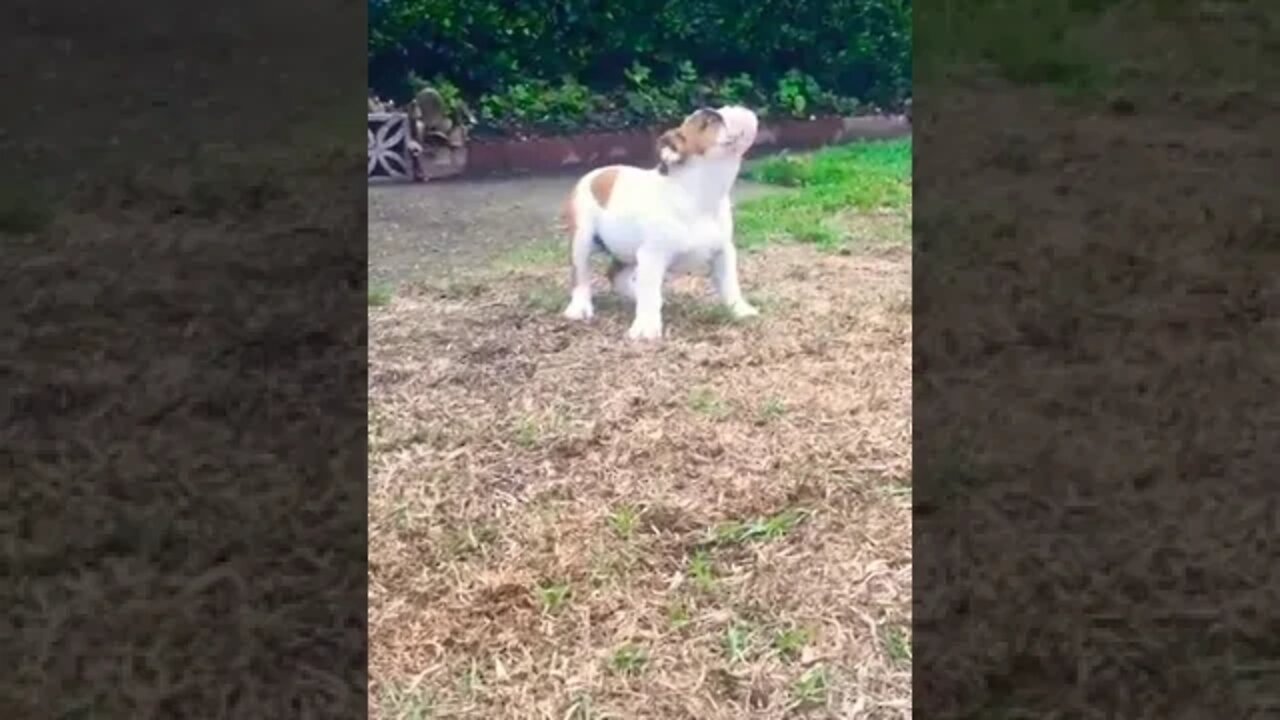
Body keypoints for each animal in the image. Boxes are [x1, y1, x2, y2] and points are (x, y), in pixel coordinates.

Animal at [560, 105, 757, 338]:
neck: (701, 194)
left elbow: (730, 285)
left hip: (627, 250)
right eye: (709, 120)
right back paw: (580, 307)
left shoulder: (723, 252)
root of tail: (596, 173)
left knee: (616, 275)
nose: (730, 108)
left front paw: (740, 310)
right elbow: (650, 293)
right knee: (581, 276)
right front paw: (646, 326)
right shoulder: (652, 256)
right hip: (582, 239)